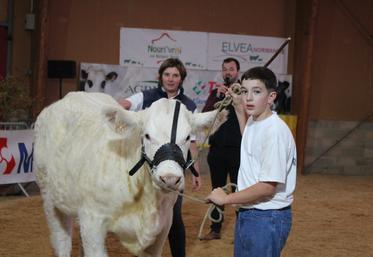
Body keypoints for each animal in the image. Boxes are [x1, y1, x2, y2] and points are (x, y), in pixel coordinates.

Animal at [33, 91, 225, 256]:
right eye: (147, 135)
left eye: (187, 137)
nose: (169, 178)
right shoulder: (92, 221)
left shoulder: (162, 227)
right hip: (50, 199)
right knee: (62, 242)